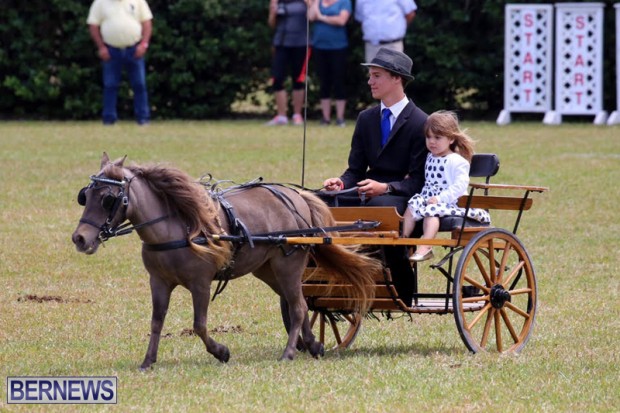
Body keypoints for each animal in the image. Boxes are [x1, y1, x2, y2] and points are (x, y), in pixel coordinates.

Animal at [72, 153, 382, 369]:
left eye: (108, 198)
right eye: (84, 196)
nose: (80, 239)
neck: (176, 227)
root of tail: (297, 196)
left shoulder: (200, 283)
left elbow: (199, 325)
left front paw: (221, 352)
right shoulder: (158, 282)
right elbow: (156, 321)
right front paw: (148, 360)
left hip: (289, 266)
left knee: (298, 307)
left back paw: (289, 352)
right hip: (268, 271)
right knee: (302, 305)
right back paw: (313, 345)